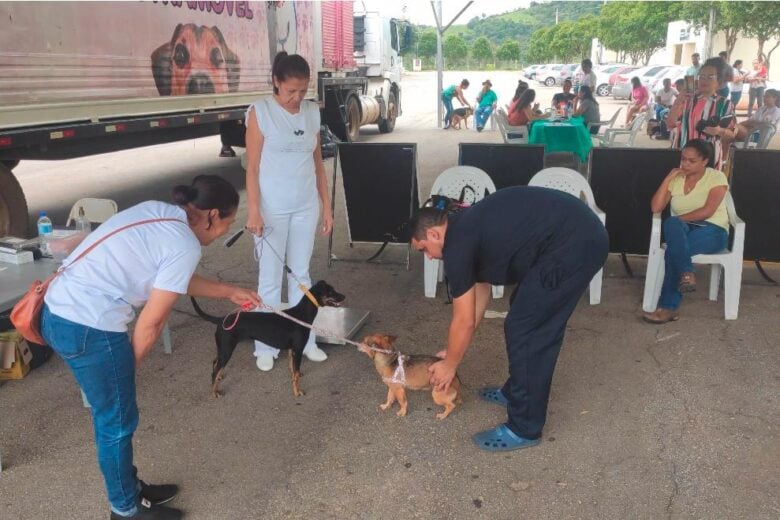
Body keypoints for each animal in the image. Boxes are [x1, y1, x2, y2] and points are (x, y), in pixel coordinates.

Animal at [190, 282, 342, 396]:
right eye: (330, 292)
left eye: (334, 289)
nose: (344, 296)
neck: (301, 315)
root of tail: (221, 320)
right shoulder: (298, 350)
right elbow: (296, 374)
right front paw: (297, 392)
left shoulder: (292, 350)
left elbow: (294, 370)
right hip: (227, 349)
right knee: (214, 371)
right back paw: (215, 391)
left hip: (222, 348)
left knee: (215, 362)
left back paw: (220, 377)